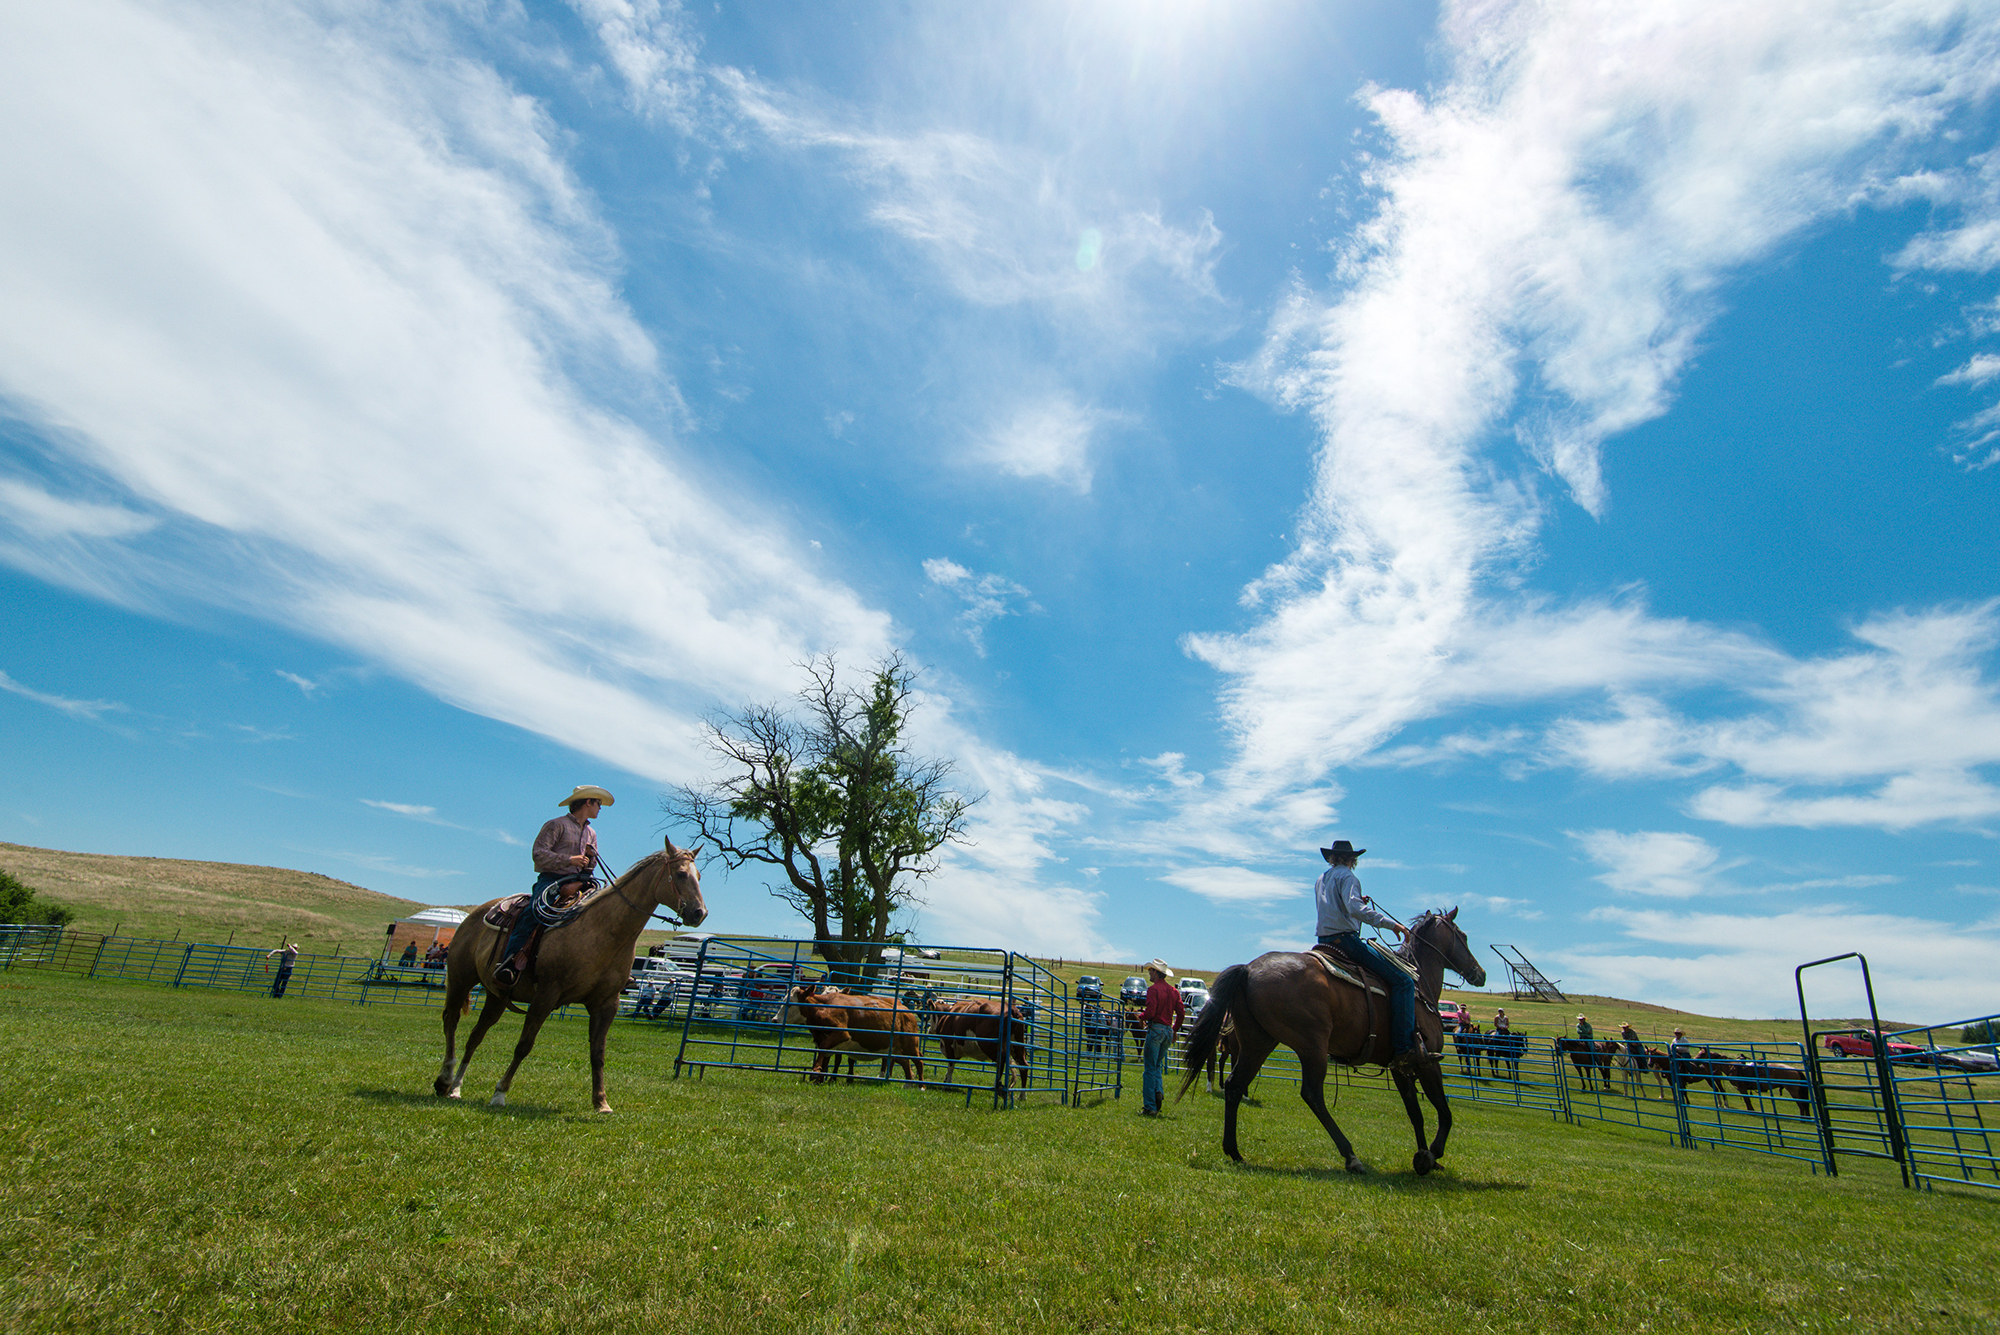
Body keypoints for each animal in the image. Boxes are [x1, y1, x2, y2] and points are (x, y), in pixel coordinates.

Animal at [434, 839, 708, 1111]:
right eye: (681, 874)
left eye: (699, 876)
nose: (699, 913)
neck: (602, 931)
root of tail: (477, 913)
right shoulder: (546, 995)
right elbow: (524, 1045)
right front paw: (500, 1092)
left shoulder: (606, 1004)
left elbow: (598, 1054)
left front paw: (601, 1101)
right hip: (460, 980)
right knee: (451, 1020)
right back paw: (444, 1079)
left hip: (496, 995)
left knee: (475, 1036)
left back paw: (456, 1087)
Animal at [776, 979, 924, 1087]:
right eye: (782, 1001)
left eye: (791, 1004)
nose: (775, 1019)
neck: (823, 1008)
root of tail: (906, 1011)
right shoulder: (822, 1038)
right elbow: (826, 1055)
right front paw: (821, 1078)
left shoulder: (841, 1034)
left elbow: (824, 1050)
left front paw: (816, 1072)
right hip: (896, 1048)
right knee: (903, 1061)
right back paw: (907, 1083)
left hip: (910, 1044)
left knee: (919, 1060)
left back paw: (921, 1086)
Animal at [1168, 907, 1488, 1175]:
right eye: (1463, 936)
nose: (1480, 973)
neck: (1418, 985)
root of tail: (1248, 970)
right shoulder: (1428, 1062)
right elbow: (1444, 1112)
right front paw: (1433, 1154)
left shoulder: (1401, 1067)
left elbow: (1415, 1113)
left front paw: (1423, 1155)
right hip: (1312, 1046)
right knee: (1312, 1094)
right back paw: (1351, 1156)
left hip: (1258, 1042)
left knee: (1235, 1086)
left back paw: (1233, 1151)